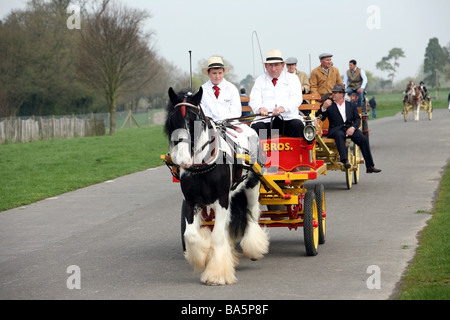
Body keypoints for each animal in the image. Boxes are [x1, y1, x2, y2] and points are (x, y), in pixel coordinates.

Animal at [166, 87, 268, 284]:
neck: (202, 166)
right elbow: (190, 235)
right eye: (172, 120)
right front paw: (203, 255)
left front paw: (217, 274)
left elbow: (218, 235)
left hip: (252, 185)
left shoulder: (222, 200)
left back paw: (254, 247)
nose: (182, 160)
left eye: (195, 120)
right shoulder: (191, 201)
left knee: (252, 213)